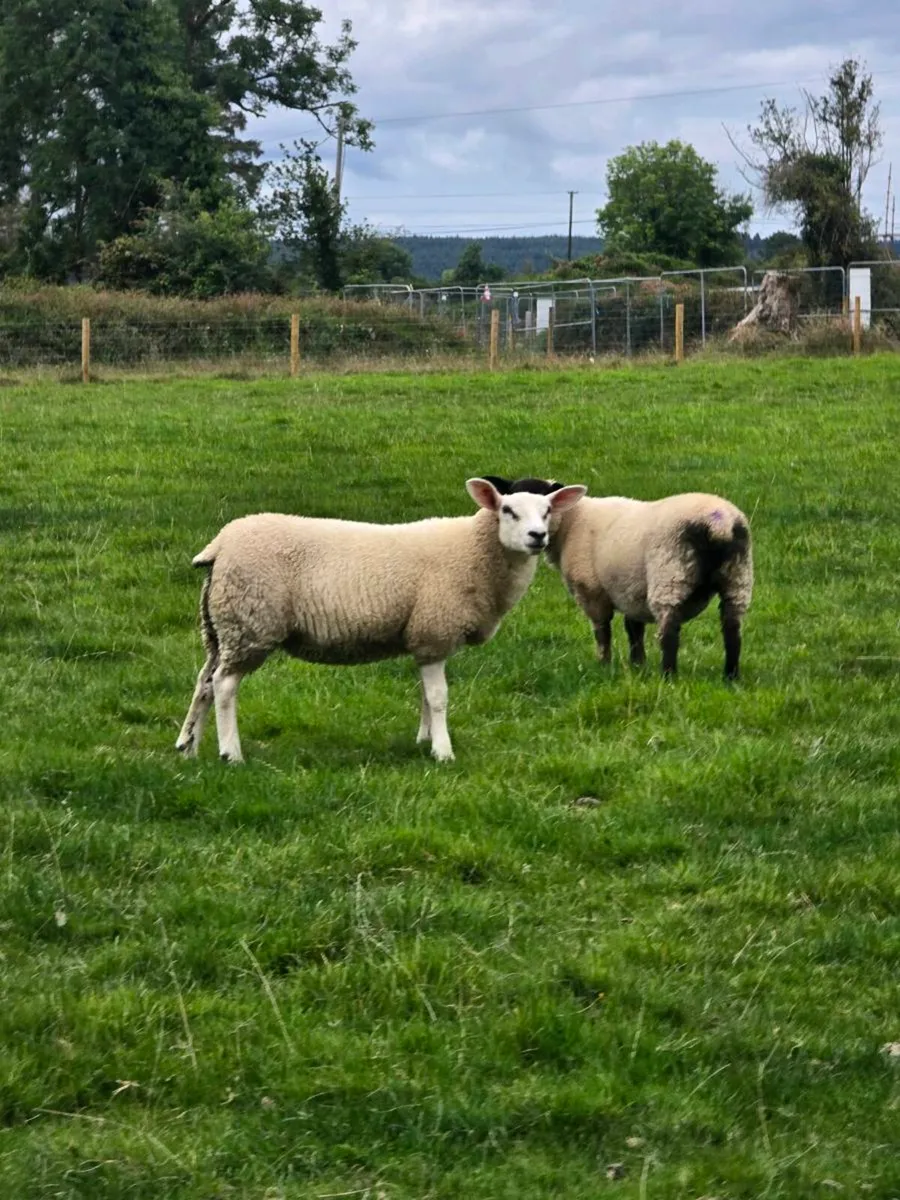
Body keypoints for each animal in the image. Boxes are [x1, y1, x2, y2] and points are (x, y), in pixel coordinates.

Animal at [175, 476, 587, 763]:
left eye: (547, 511)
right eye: (508, 511)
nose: (538, 536)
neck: (474, 551)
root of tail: (221, 544)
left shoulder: (423, 637)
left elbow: (424, 695)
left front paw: (423, 740)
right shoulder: (434, 631)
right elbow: (438, 697)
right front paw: (443, 751)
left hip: (220, 627)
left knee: (204, 682)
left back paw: (188, 747)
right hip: (251, 622)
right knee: (225, 685)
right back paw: (231, 753)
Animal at [484, 478, 753, 679]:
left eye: (545, 508)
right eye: (509, 503)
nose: (534, 535)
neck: (572, 521)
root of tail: (719, 523)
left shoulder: (592, 590)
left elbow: (602, 631)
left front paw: (604, 664)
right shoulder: (631, 589)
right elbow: (634, 630)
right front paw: (637, 666)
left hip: (670, 574)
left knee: (670, 632)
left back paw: (668, 675)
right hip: (738, 577)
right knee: (732, 630)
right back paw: (731, 676)